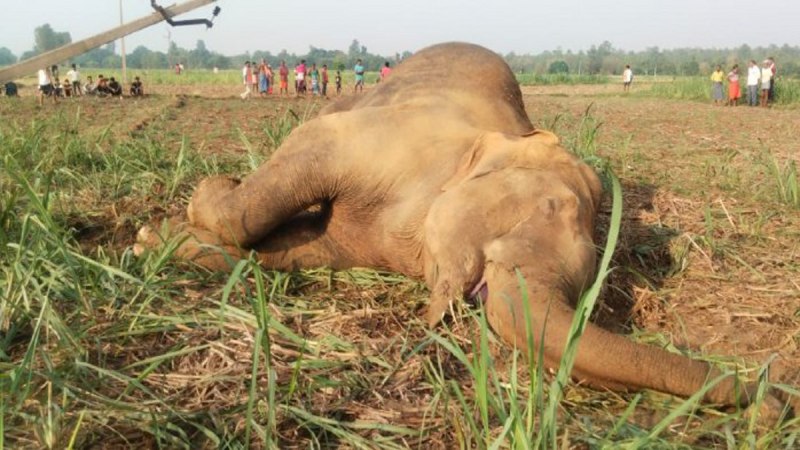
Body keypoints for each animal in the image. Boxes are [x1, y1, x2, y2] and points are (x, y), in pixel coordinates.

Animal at [135, 42, 795, 416]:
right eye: (551, 207)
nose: (774, 402)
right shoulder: (383, 144)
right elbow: (292, 171)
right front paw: (189, 209)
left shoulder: (375, 238)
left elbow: (303, 249)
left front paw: (162, 244)